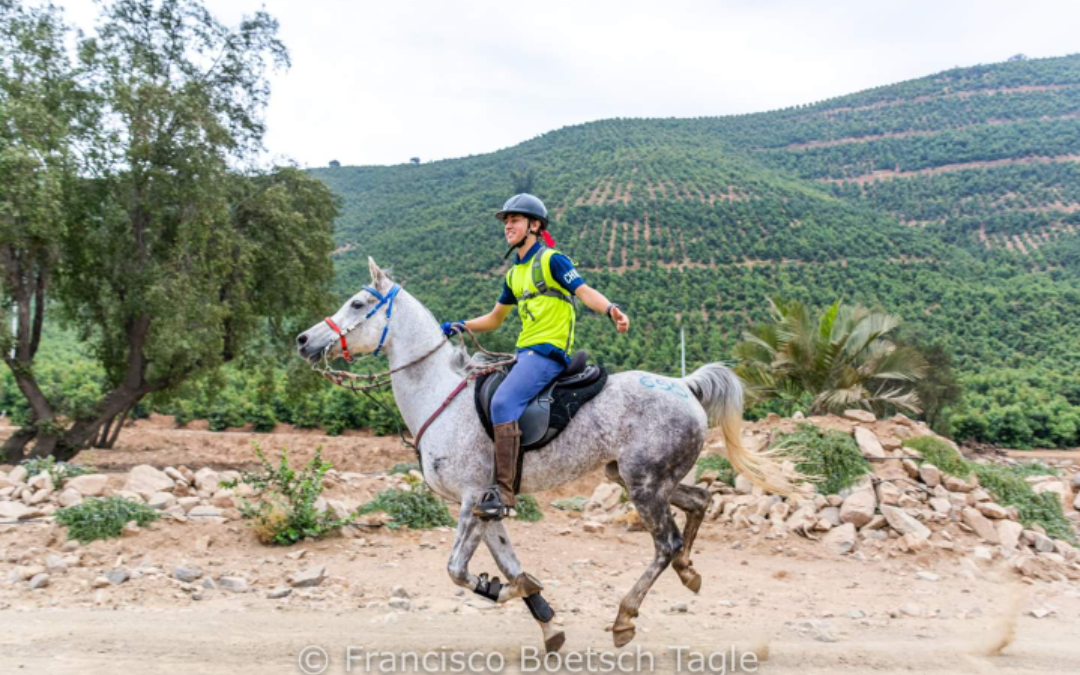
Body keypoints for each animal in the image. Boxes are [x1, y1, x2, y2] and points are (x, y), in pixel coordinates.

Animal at [295, 258, 794, 652]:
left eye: (358, 304)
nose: (303, 340)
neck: (440, 396)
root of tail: (684, 385)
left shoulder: (472, 498)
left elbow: (457, 570)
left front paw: (502, 592)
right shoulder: (488, 504)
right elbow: (508, 563)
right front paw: (541, 614)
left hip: (644, 484)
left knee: (664, 544)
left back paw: (626, 616)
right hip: (636, 477)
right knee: (699, 501)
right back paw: (688, 571)